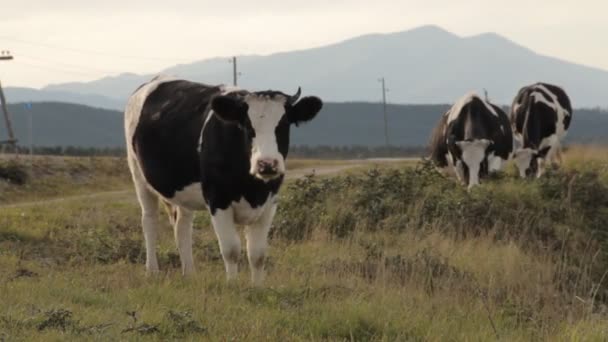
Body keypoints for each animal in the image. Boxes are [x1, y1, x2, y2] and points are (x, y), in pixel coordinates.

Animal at [123, 76, 324, 284]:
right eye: (248, 126)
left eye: (283, 125)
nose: (267, 164)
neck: (252, 188)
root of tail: (156, 79)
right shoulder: (217, 199)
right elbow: (231, 250)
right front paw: (233, 285)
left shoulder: (269, 202)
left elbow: (258, 254)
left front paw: (257, 286)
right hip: (138, 174)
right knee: (149, 221)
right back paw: (152, 271)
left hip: (182, 190)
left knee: (182, 226)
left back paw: (189, 273)